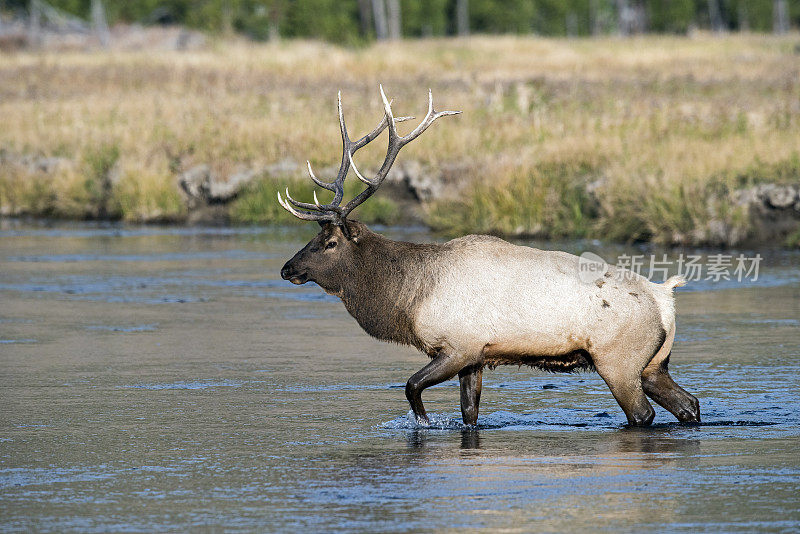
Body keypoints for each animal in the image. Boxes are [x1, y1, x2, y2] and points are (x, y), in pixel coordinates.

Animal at [280, 89, 700, 432]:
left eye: (330, 242)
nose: (287, 269)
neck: (408, 297)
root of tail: (664, 297)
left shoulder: (459, 346)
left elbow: (411, 387)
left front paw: (423, 422)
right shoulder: (476, 358)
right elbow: (470, 414)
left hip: (618, 361)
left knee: (643, 415)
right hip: (652, 364)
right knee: (689, 405)